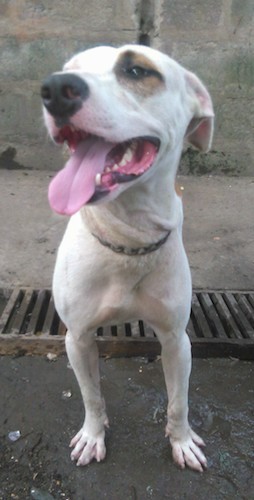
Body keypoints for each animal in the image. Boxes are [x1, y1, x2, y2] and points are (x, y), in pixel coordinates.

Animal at [40, 44, 213, 472]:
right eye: (68, 69)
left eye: (137, 70)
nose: (55, 88)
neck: (128, 238)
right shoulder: (78, 338)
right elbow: (91, 395)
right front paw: (93, 435)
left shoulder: (176, 340)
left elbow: (179, 402)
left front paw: (181, 441)